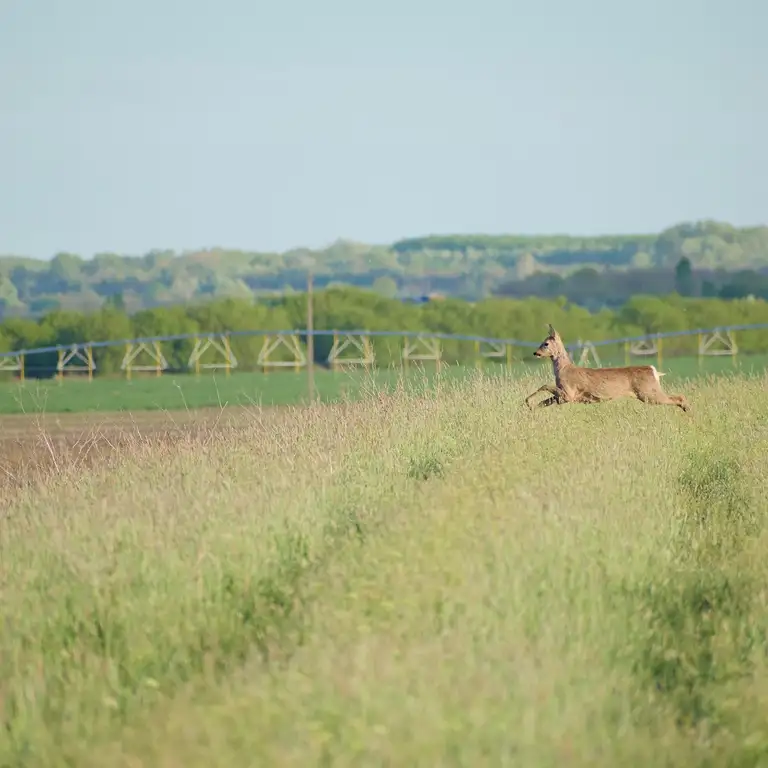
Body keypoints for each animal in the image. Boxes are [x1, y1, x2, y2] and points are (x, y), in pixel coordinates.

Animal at [524, 328, 692, 416]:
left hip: (648, 393)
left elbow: (544, 386)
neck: (564, 369)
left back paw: (689, 413)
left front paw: (527, 402)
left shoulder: (569, 393)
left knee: (679, 397)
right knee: (679, 396)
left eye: (546, 343)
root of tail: (653, 370)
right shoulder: (564, 396)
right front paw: (531, 408)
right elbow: (545, 401)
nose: (535, 353)